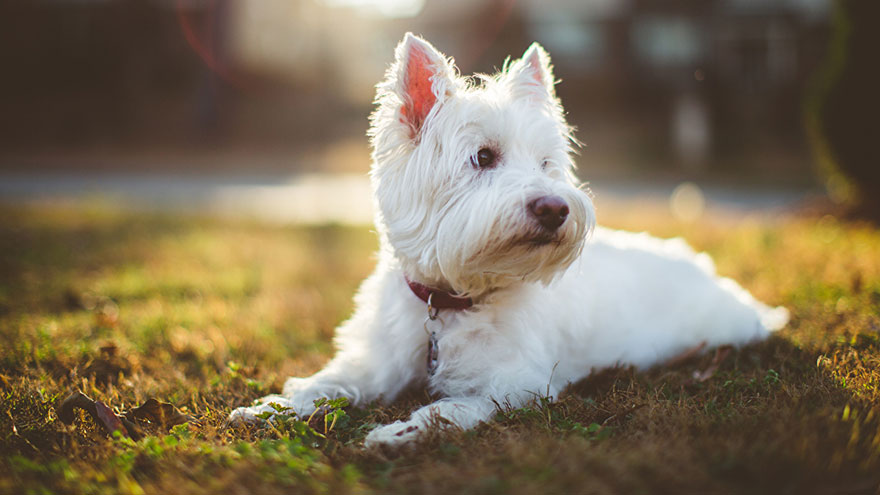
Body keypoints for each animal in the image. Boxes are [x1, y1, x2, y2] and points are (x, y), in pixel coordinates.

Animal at [229, 33, 792, 448]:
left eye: (546, 163)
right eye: (483, 157)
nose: (556, 208)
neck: (451, 302)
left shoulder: (516, 383)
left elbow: (451, 406)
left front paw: (398, 432)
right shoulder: (376, 361)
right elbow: (328, 381)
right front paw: (271, 407)